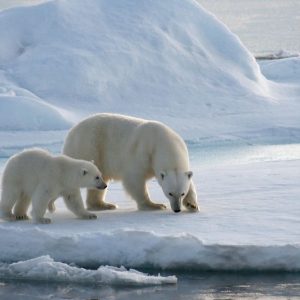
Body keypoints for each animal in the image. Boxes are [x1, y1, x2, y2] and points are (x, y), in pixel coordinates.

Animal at [63, 113, 199, 213]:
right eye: (170, 193)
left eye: (182, 193)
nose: (177, 209)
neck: (163, 142)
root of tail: (71, 133)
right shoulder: (143, 152)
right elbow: (134, 179)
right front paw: (154, 205)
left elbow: (190, 182)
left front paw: (192, 205)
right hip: (90, 148)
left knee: (100, 181)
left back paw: (104, 205)